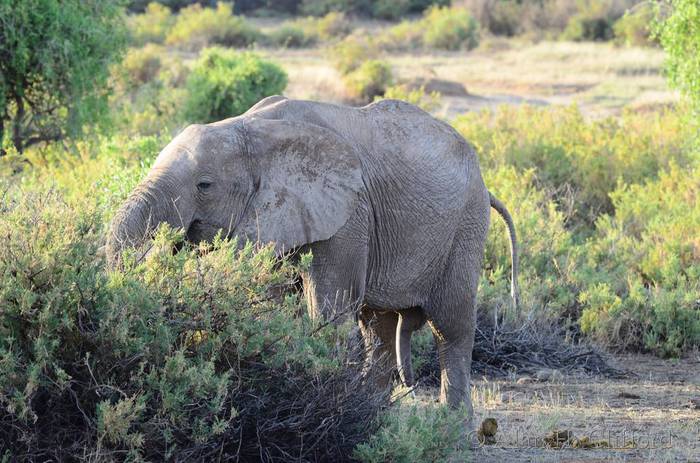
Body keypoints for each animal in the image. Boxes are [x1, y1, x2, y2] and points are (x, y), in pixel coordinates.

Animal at [106, 96, 519, 423]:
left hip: (465, 226)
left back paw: (453, 432)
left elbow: (328, 308)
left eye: (204, 185)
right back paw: (374, 417)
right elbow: (268, 300)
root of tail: (485, 183)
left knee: (450, 326)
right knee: (379, 327)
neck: (254, 130)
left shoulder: (349, 211)